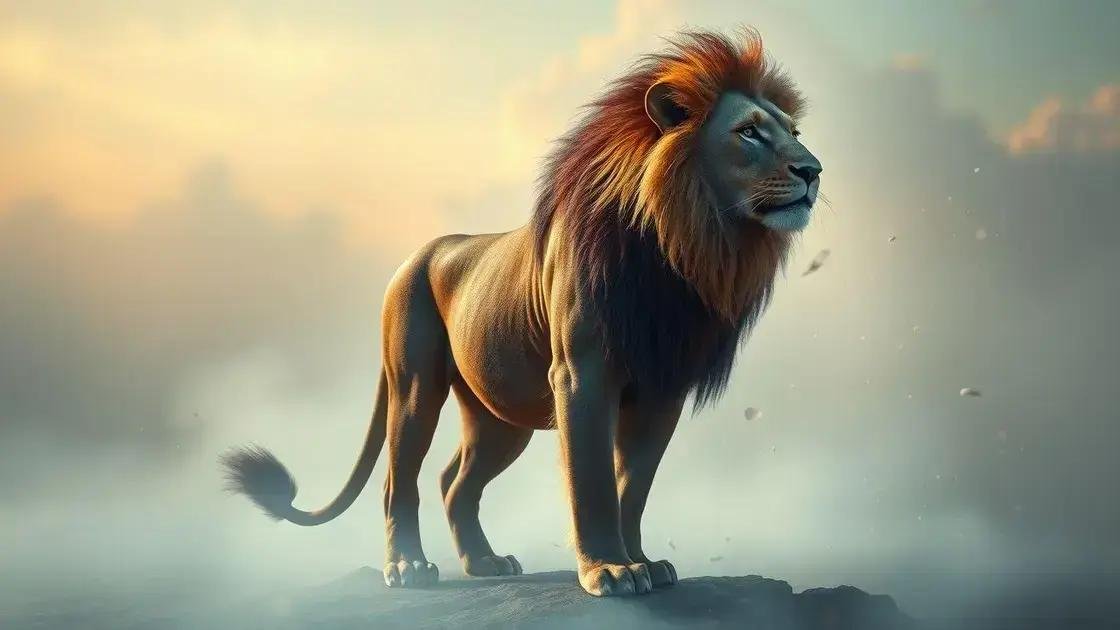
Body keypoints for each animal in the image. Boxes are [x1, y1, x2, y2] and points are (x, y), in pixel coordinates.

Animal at [222, 28, 821, 597]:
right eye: (748, 132)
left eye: (793, 132)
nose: (813, 170)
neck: (680, 249)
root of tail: (415, 256)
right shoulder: (581, 375)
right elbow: (593, 482)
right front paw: (609, 571)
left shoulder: (662, 388)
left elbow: (633, 487)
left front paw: (644, 562)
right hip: (414, 387)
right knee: (400, 480)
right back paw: (408, 566)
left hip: (499, 416)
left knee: (454, 482)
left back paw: (484, 562)